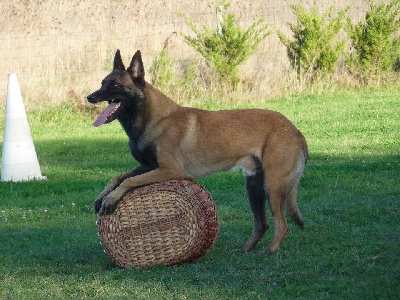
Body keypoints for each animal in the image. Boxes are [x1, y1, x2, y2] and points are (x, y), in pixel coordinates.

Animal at [86, 49, 308, 253]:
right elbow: (118, 176)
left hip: (272, 185)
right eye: (102, 83)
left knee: (282, 225)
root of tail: (295, 130)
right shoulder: (148, 166)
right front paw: (103, 195)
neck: (153, 119)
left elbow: (129, 180)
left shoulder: (169, 169)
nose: (90, 97)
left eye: (115, 85)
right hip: (253, 186)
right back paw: (246, 250)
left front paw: (111, 198)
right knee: (262, 224)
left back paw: (270, 250)